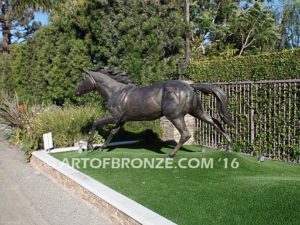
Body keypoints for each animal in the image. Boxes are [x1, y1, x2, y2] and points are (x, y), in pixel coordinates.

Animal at [75, 67, 234, 157]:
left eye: (83, 79)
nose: (76, 91)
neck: (116, 92)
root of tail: (190, 87)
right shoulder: (121, 120)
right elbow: (113, 133)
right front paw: (102, 148)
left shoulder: (114, 116)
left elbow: (96, 123)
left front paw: (90, 146)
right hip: (197, 111)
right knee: (215, 122)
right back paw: (228, 147)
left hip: (175, 116)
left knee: (186, 134)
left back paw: (170, 155)